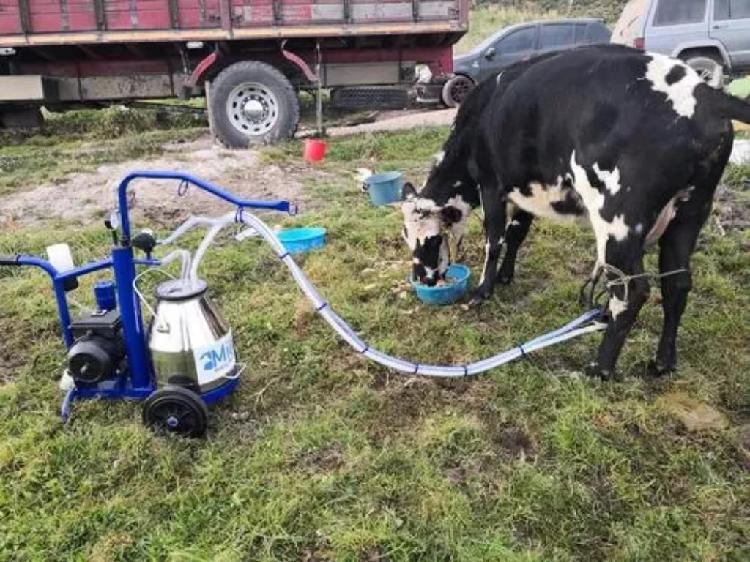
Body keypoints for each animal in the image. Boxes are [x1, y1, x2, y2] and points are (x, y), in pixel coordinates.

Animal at [402, 43, 748, 376]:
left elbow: (495, 240)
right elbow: (516, 234)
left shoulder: (491, 185)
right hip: (690, 213)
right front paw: (505, 276)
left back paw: (600, 368)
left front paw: (483, 291)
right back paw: (662, 363)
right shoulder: (527, 188)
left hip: (618, 221)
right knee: (676, 283)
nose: (421, 279)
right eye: (406, 237)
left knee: (632, 290)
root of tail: (704, 94)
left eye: (431, 239)